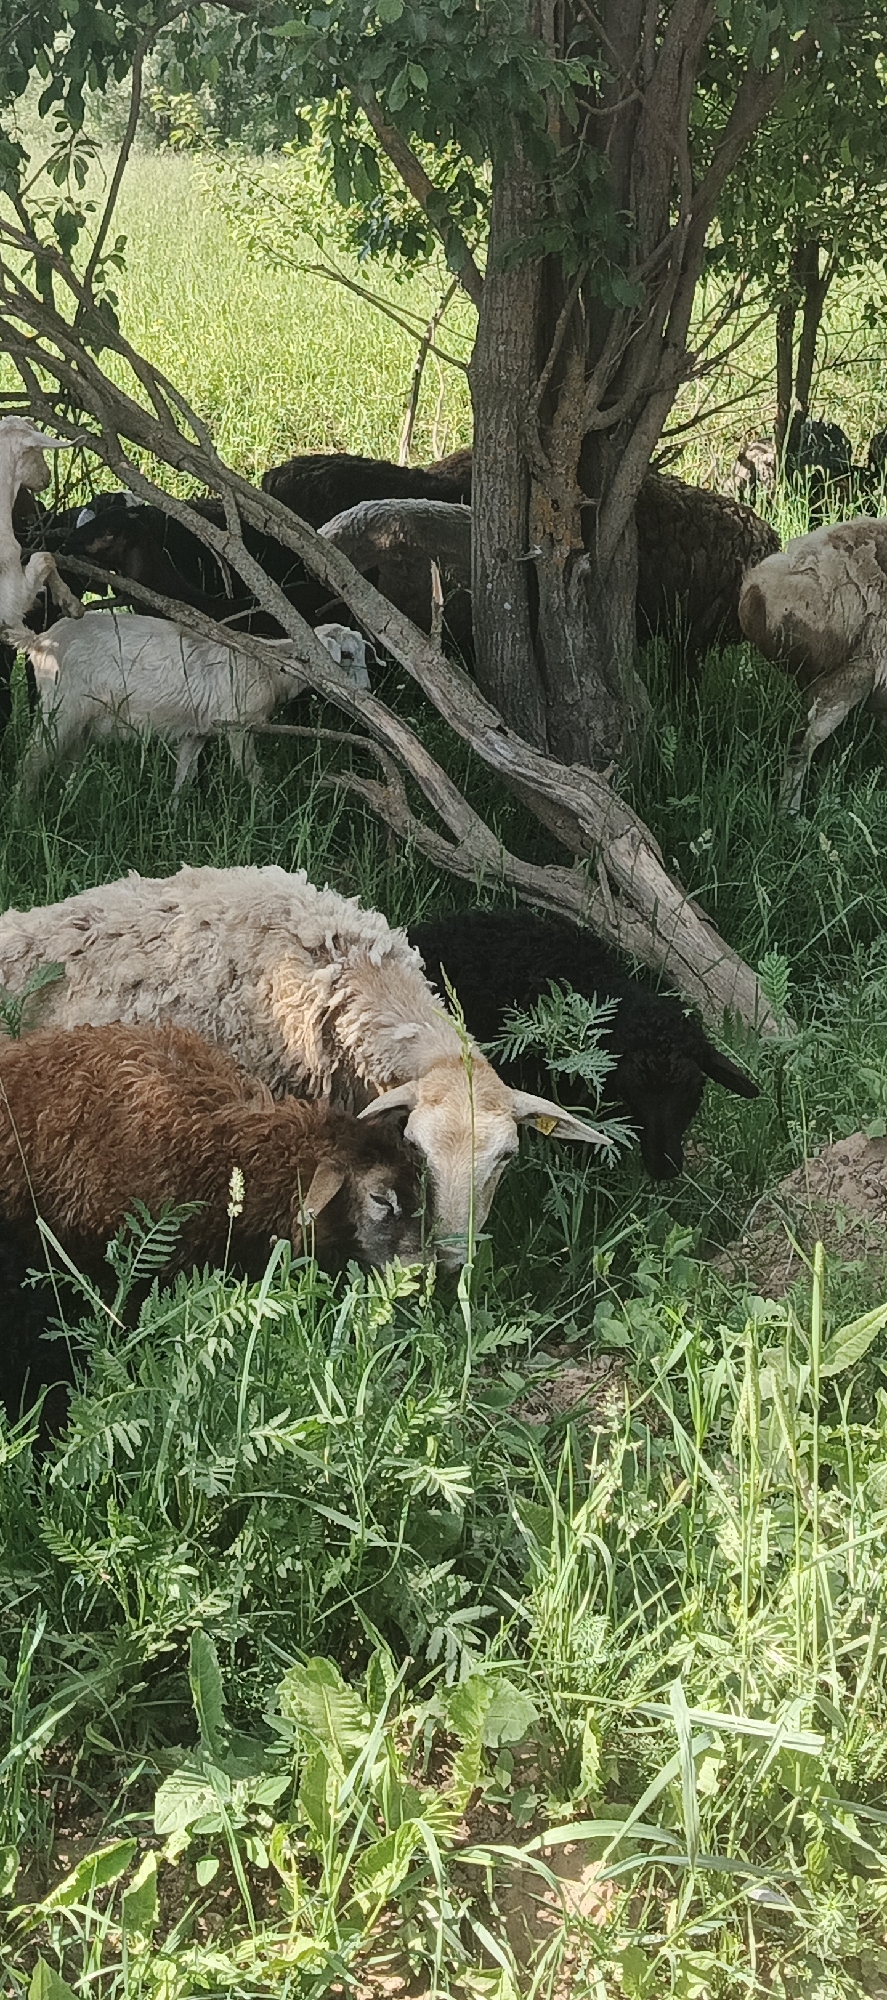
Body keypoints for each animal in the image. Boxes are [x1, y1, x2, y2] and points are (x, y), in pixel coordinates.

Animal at [17, 611, 373, 796]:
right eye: (346, 654)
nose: (367, 691)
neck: (271, 667)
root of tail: (39, 641)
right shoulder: (238, 726)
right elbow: (253, 773)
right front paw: (264, 811)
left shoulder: (196, 731)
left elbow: (183, 778)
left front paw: (172, 820)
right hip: (60, 709)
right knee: (30, 762)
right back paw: (23, 814)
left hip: (80, 723)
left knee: (67, 765)